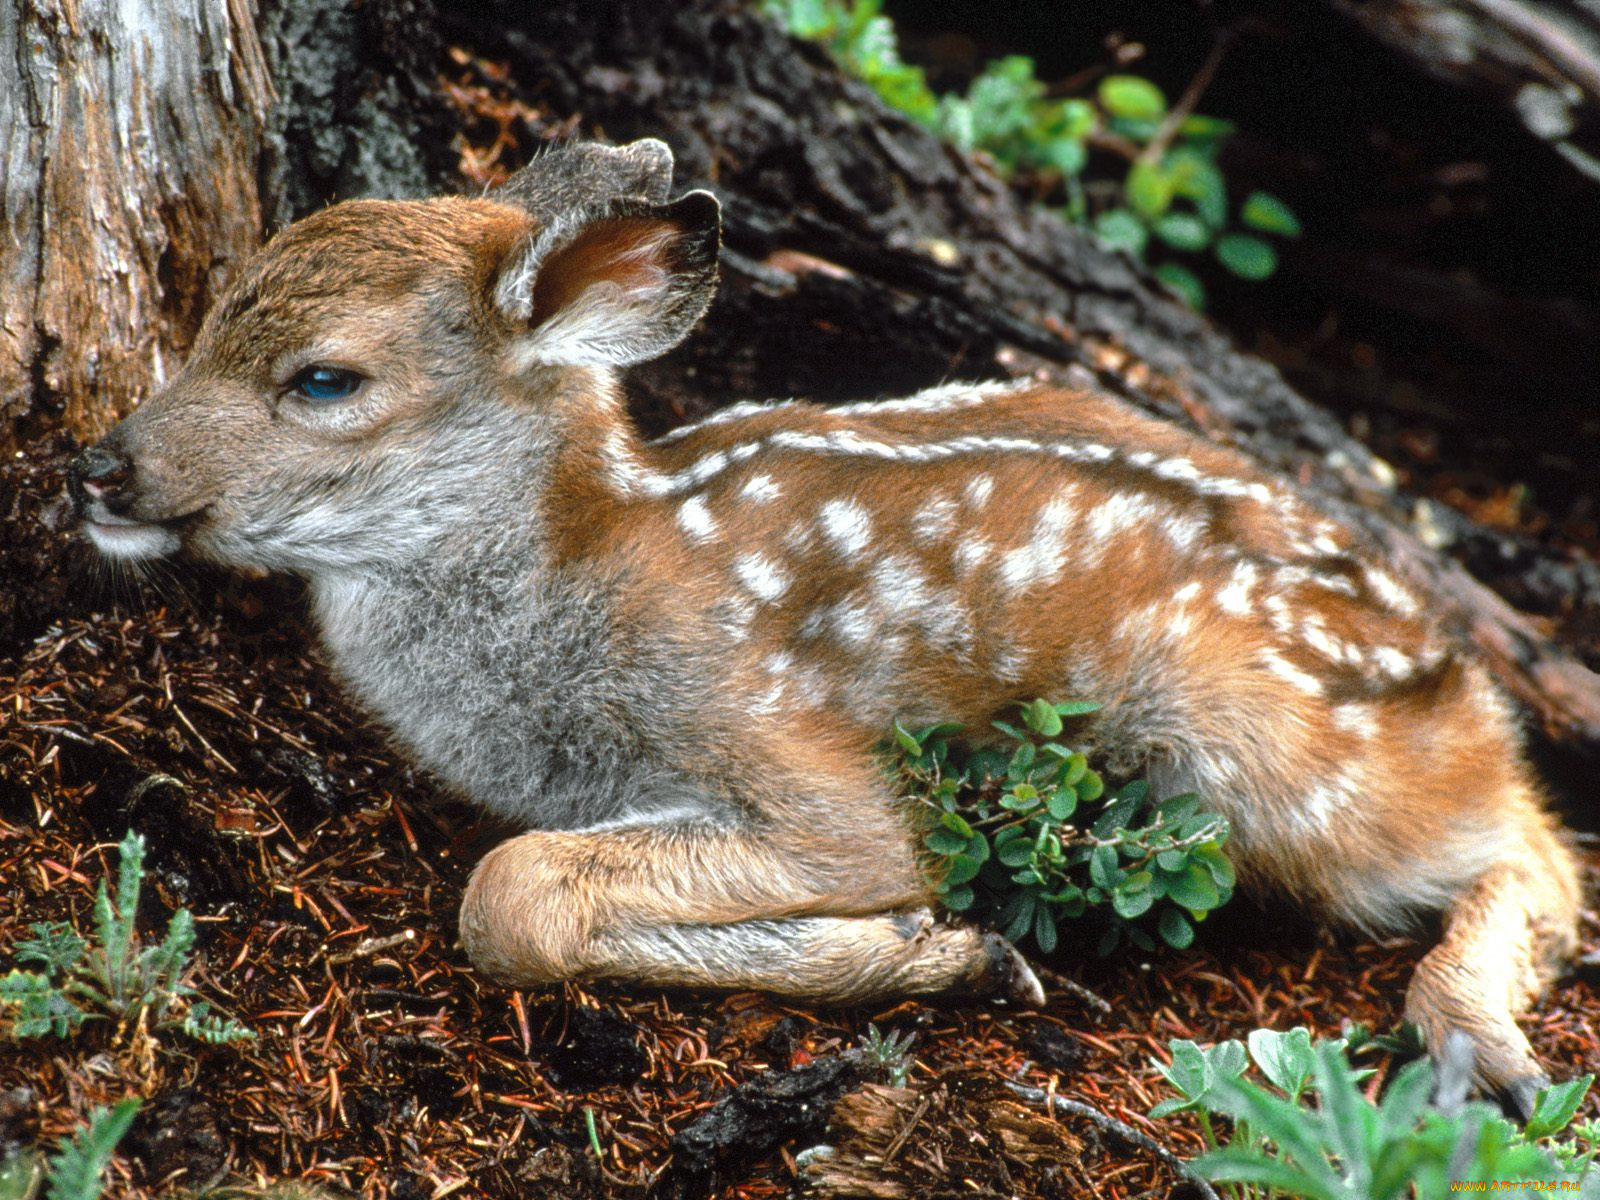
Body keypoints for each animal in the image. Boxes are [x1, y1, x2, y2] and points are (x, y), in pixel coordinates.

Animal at [72, 136, 1574, 1113]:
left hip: (1245, 733)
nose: (100, 466)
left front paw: (944, 951)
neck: (581, 576)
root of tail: (1457, 677)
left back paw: (1478, 1042)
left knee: (1532, 844)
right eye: (203, 317)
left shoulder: (791, 754)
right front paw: (955, 955)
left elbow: (515, 893)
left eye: (325, 380)